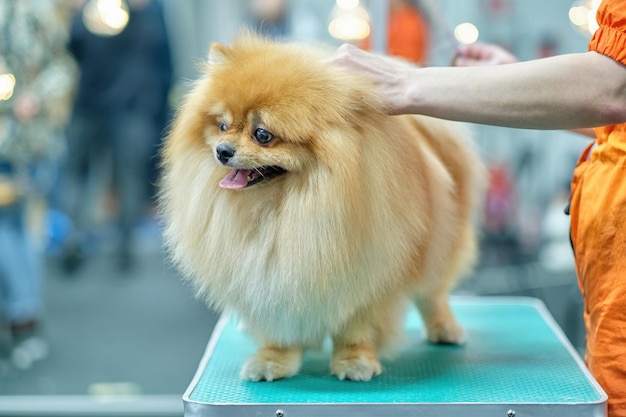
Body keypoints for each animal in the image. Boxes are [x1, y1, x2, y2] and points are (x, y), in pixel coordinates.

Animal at [160, 34, 482, 382]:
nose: (222, 151)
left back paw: (445, 329)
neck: (284, 208)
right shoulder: (267, 279)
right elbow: (278, 327)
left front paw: (355, 359)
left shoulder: (371, 274)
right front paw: (273, 359)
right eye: (221, 126)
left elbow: (358, 326)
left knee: (433, 294)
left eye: (262, 135)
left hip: (440, 247)